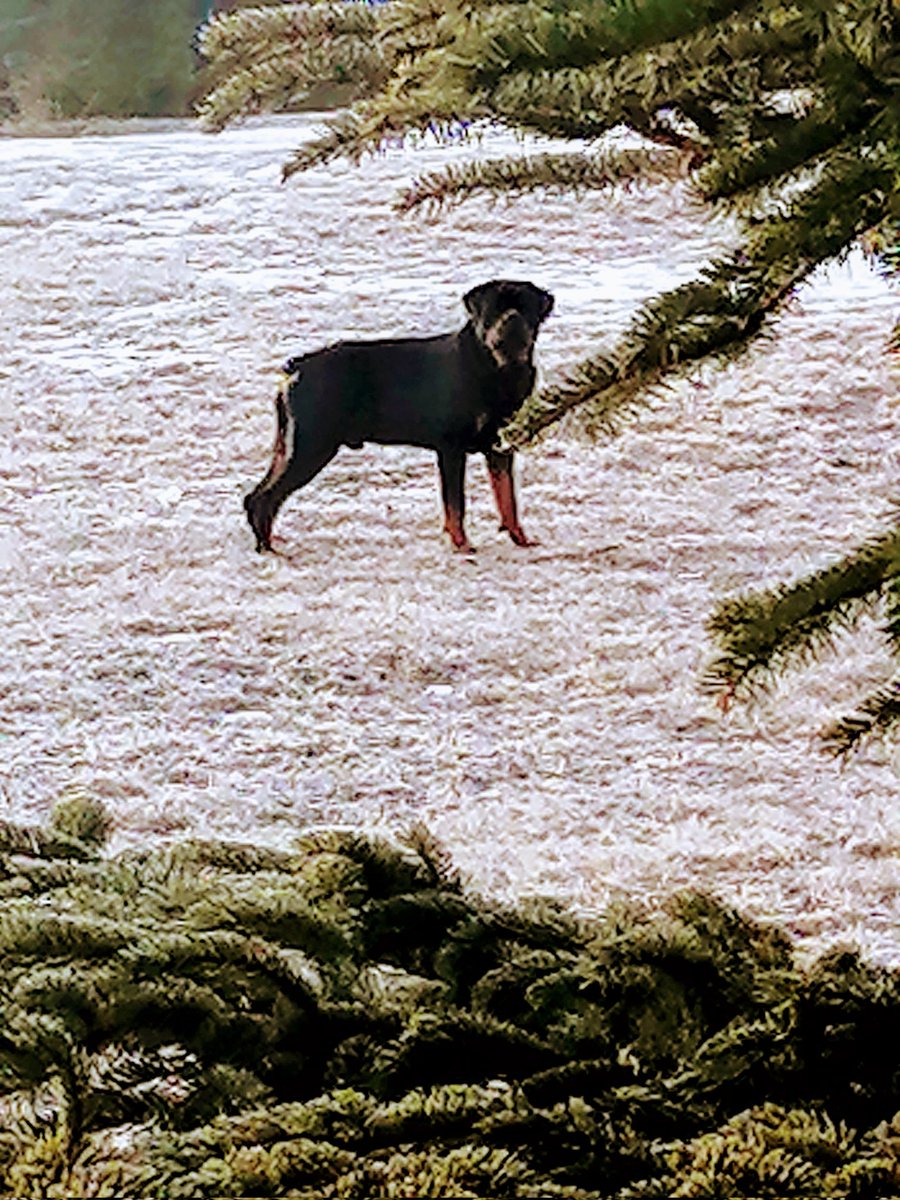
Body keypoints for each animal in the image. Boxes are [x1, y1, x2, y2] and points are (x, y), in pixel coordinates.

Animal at [247, 277, 556, 552]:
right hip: (311, 445)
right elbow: (456, 504)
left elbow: (508, 498)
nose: (512, 319)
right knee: (265, 498)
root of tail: (296, 369)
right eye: (492, 309)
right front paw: (461, 545)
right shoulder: (451, 448)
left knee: (258, 496)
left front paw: (520, 539)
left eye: (526, 307)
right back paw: (269, 549)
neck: (498, 369)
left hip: (294, 445)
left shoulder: (501, 446)